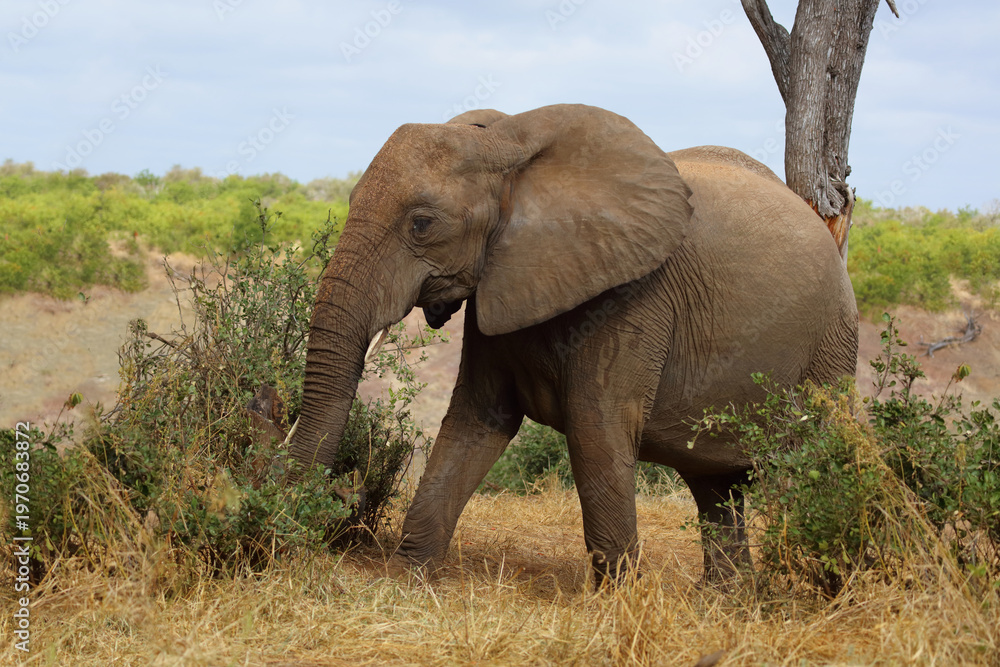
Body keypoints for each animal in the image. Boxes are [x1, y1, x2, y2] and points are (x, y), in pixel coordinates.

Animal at [286, 103, 858, 584]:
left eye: (422, 224)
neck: (507, 144)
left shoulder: (634, 294)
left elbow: (595, 427)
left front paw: (621, 602)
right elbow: (476, 419)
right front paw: (407, 577)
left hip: (832, 343)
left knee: (812, 460)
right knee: (715, 486)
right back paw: (728, 598)